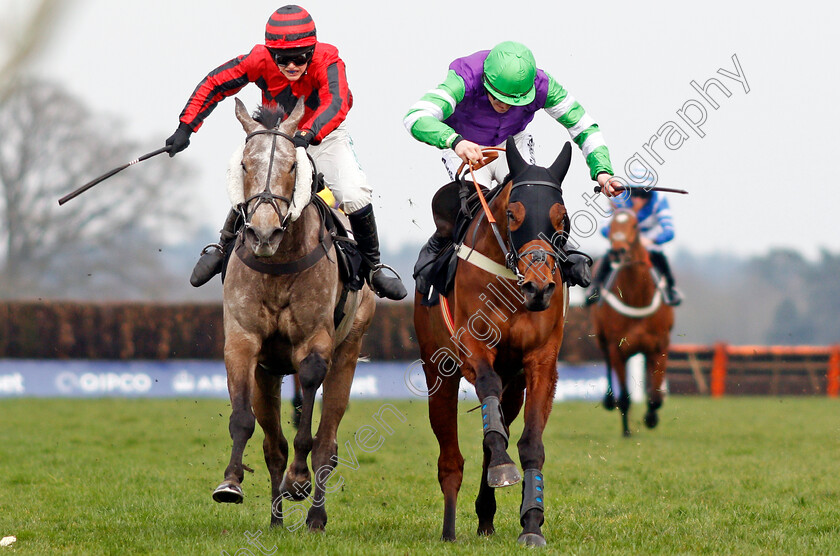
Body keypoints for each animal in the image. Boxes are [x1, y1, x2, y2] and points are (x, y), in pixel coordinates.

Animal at [213, 97, 374, 532]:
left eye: (291, 167)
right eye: (244, 165)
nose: (263, 233)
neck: (279, 263)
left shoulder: (314, 342)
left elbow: (310, 433)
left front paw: (299, 480)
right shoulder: (243, 342)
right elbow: (243, 420)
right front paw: (230, 483)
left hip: (349, 351)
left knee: (326, 442)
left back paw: (315, 514)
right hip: (268, 373)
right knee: (274, 446)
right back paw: (275, 520)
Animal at [416, 137, 576, 544]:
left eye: (562, 218)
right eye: (513, 214)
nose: (539, 287)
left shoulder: (540, 363)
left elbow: (530, 443)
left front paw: (532, 522)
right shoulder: (473, 349)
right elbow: (486, 389)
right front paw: (505, 468)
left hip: (513, 387)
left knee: (496, 428)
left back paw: (486, 514)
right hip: (437, 375)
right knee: (451, 459)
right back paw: (449, 530)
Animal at [592, 210, 676, 438]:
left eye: (635, 225)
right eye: (611, 224)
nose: (618, 251)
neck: (637, 297)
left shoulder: (660, 345)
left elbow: (655, 396)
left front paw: (651, 418)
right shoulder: (617, 347)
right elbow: (625, 397)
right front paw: (627, 431)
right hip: (602, 339)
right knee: (607, 365)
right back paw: (609, 400)